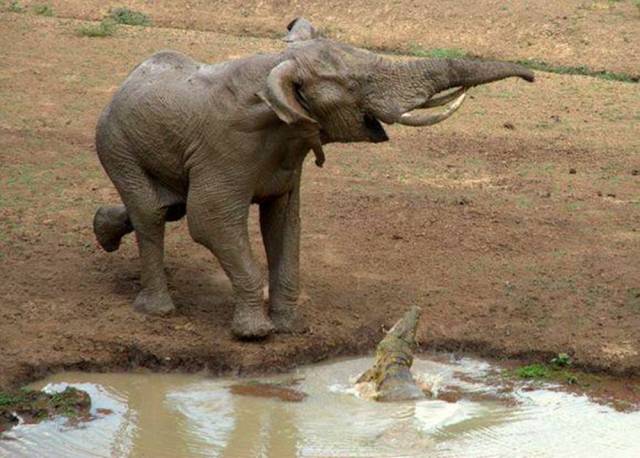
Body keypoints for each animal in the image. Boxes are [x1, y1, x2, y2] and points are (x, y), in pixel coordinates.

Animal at [91, 17, 536, 338]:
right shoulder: (225, 147)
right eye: (356, 83)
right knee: (152, 213)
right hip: (116, 143)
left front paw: (291, 328)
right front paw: (255, 334)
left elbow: (285, 225)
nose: (531, 76)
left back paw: (104, 231)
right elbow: (211, 221)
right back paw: (157, 310)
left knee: (169, 207)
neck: (277, 67)